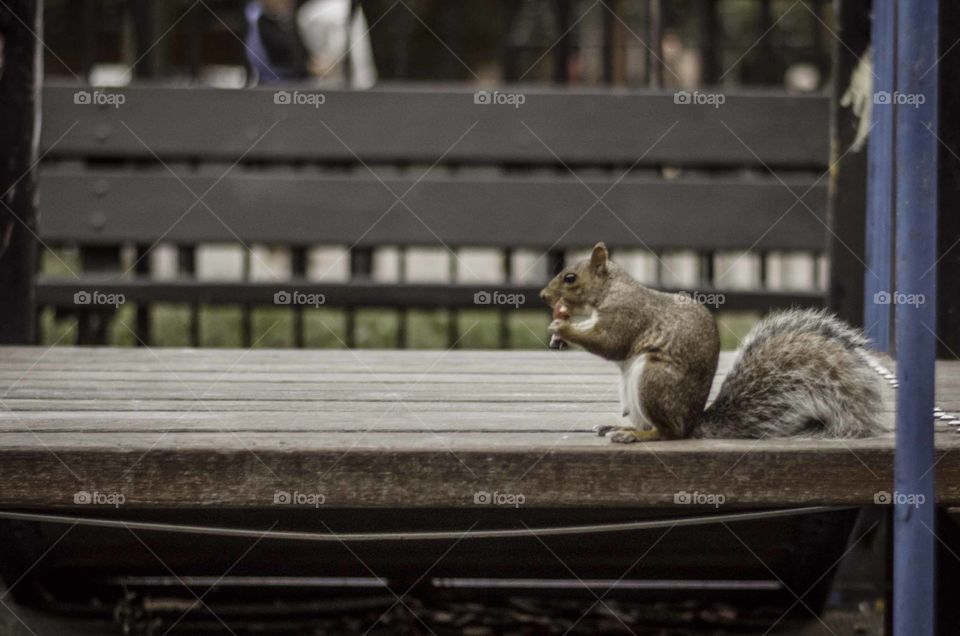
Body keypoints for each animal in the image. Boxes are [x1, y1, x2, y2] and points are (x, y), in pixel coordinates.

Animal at [539, 242, 886, 443]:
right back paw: (615, 427)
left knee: (668, 433)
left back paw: (635, 435)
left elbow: (612, 343)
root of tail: (693, 422)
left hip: (654, 380)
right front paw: (557, 333)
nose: (543, 296)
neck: (611, 289)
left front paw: (563, 327)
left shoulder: (628, 316)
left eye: (570, 278)